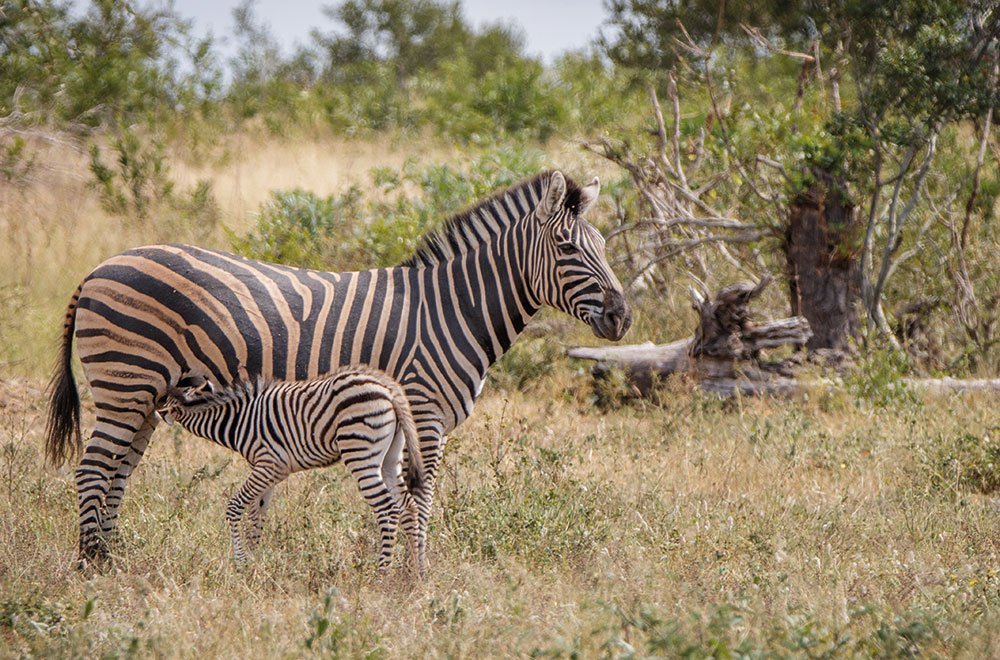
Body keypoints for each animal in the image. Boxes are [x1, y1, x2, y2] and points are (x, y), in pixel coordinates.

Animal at [156, 366, 426, 572]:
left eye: (165, 400)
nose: (156, 412)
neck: (237, 420)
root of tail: (388, 388)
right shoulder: (268, 472)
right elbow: (256, 516)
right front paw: (253, 563)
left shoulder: (267, 465)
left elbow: (235, 507)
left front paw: (240, 562)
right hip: (391, 459)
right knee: (408, 507)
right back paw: (416, 573)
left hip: (361, 453)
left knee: (387, 508)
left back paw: (382, 573)